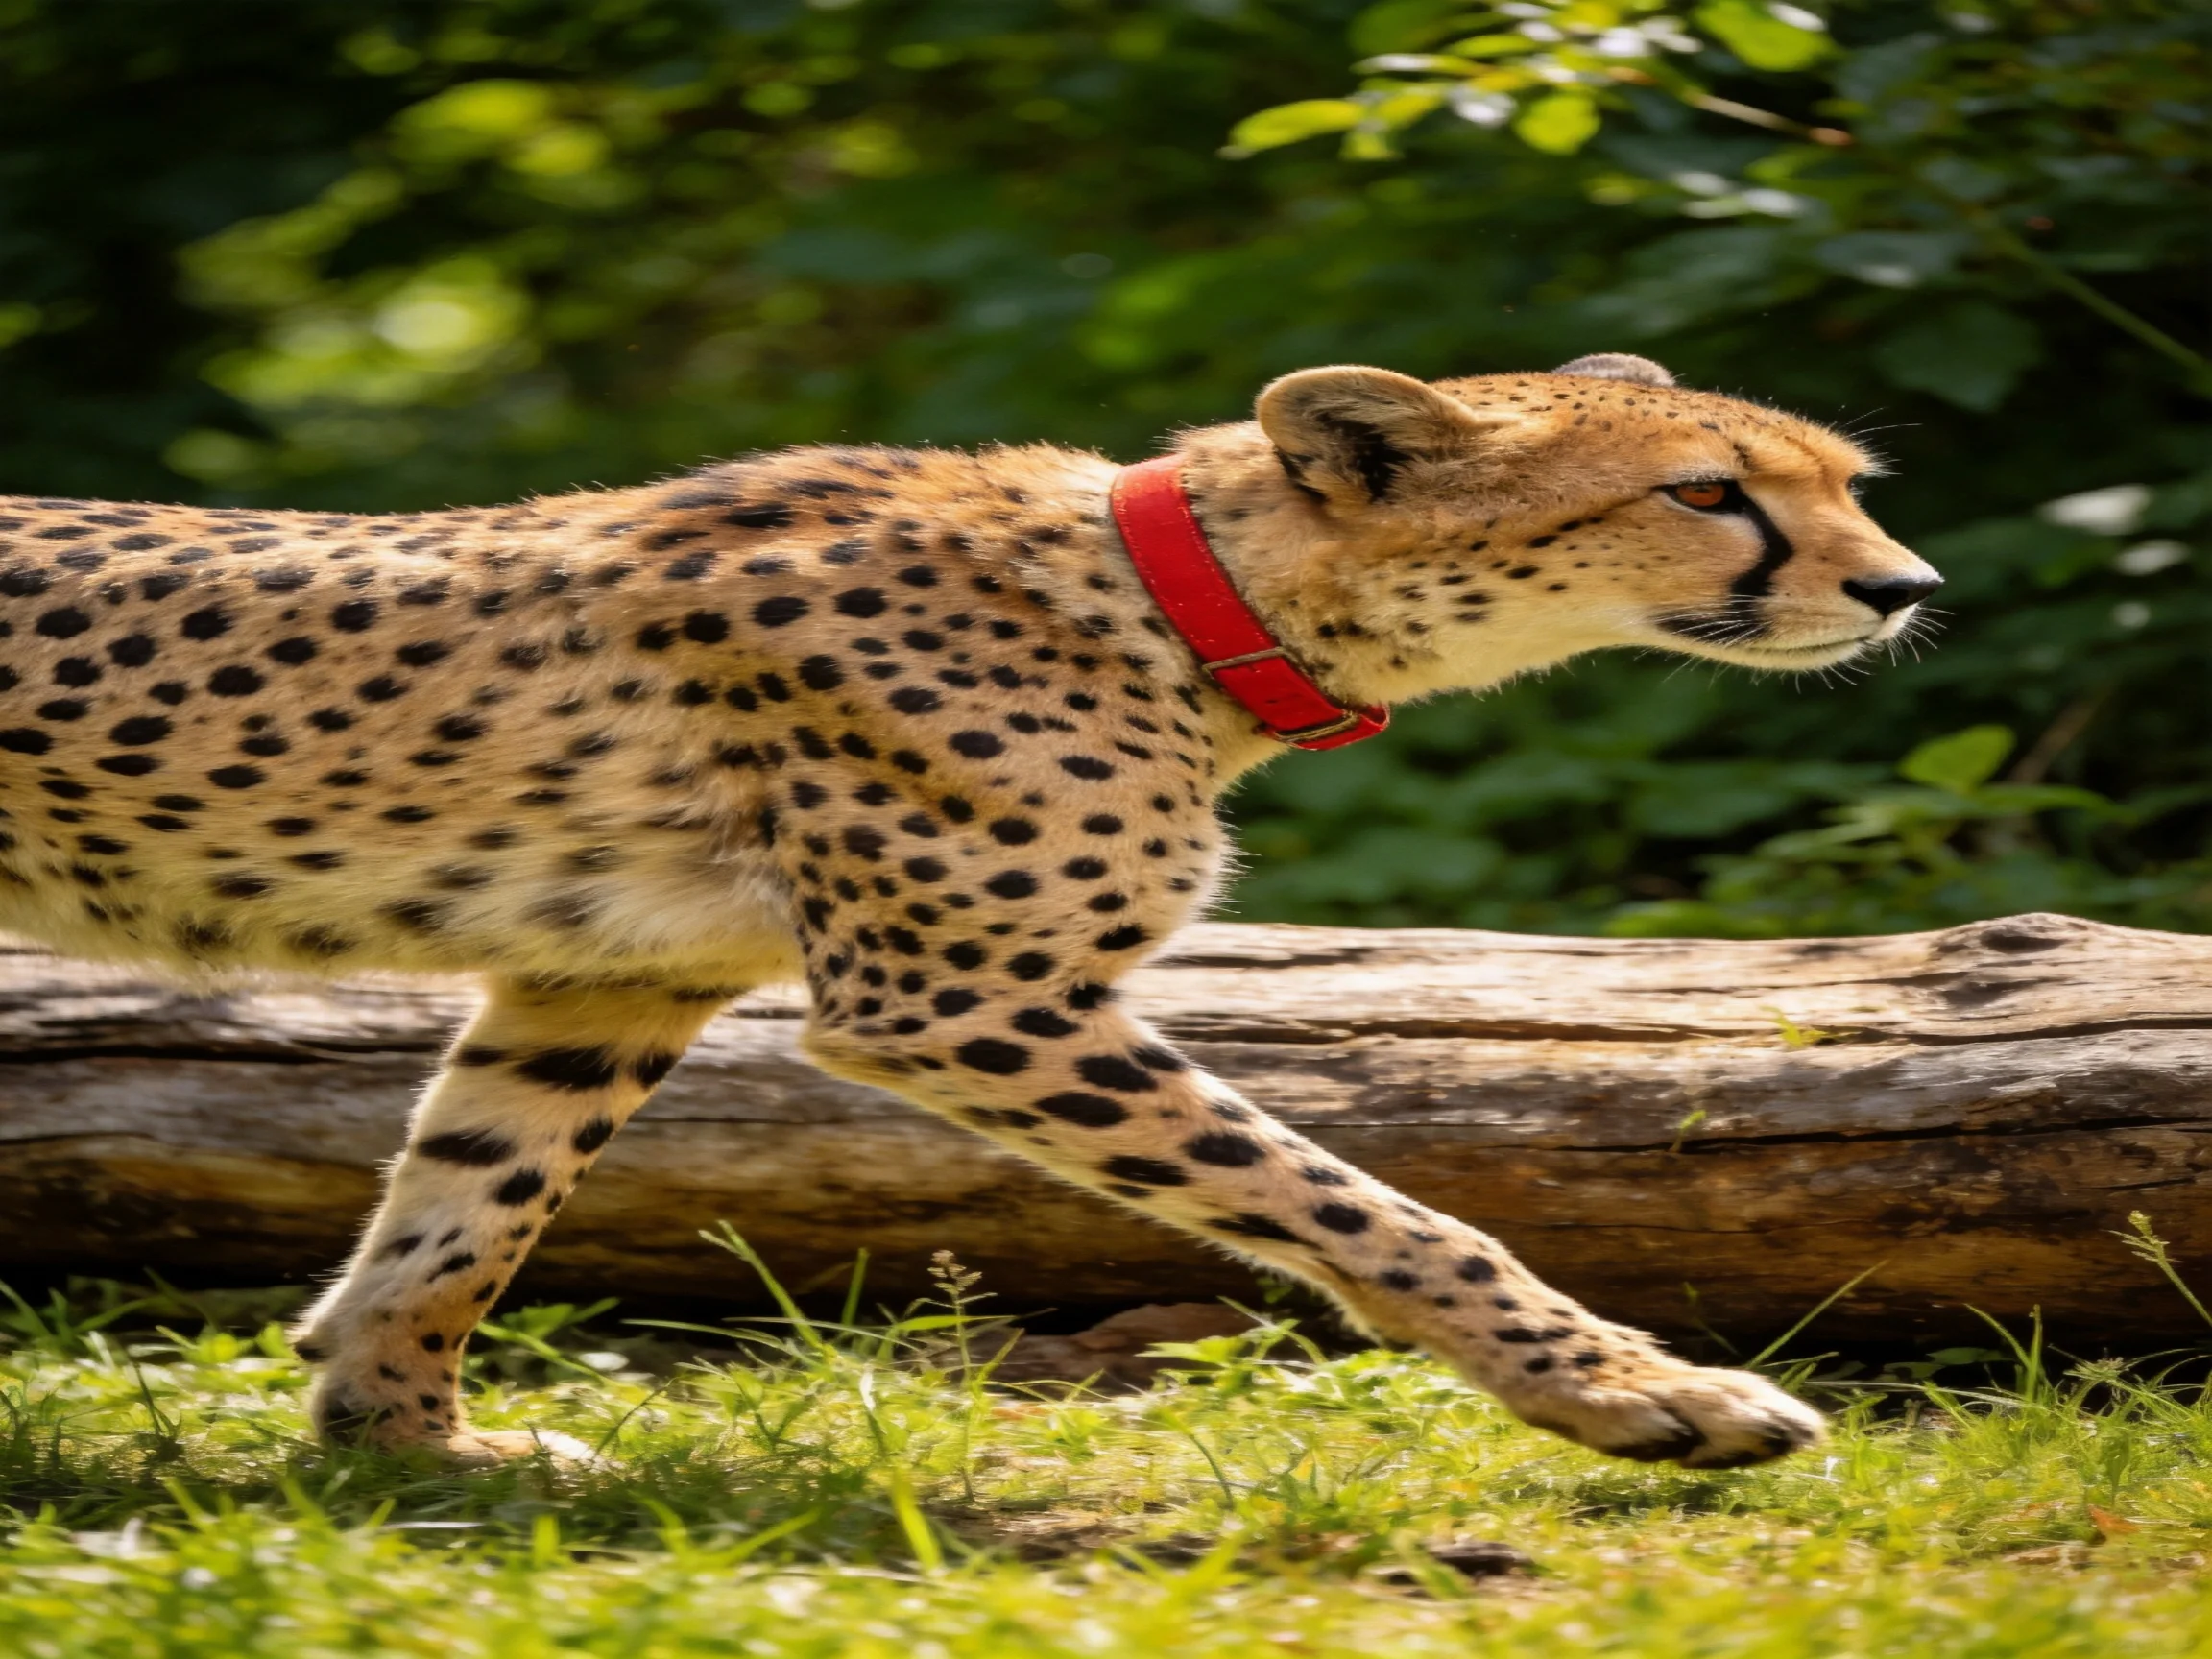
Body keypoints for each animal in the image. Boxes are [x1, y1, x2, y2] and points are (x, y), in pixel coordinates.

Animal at [0, 352, 1940, 1469]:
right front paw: (1642, 1393)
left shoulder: (601, 979)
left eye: (1847, 485)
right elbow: (1361, 1205)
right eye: (1705, 492)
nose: (1906, 587)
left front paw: (400, 1443)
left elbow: (464, 1212)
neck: (1195, 602)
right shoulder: (965, 1002)